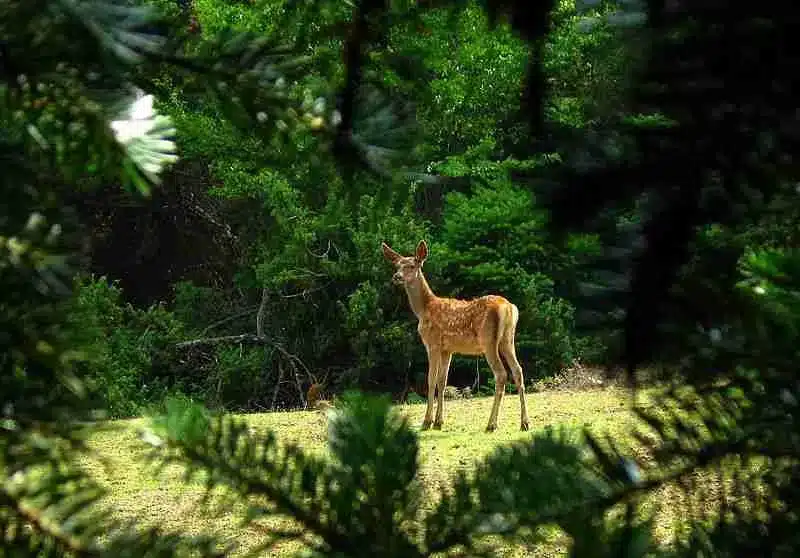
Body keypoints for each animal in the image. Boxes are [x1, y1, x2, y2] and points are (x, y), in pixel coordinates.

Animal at [382, 241, 532, 434]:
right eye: (397, 265)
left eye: (412, 265)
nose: (396, 277)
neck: (424, 309)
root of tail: (509, 308)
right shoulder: (448, 349)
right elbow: (442, 381)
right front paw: (439, 422)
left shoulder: (433, 343)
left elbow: (431, 380)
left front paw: (427, 422)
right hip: (507, 340)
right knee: (518, 370)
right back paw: (524, 423)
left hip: (488, 340)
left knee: (501, 374)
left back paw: (491, 424)